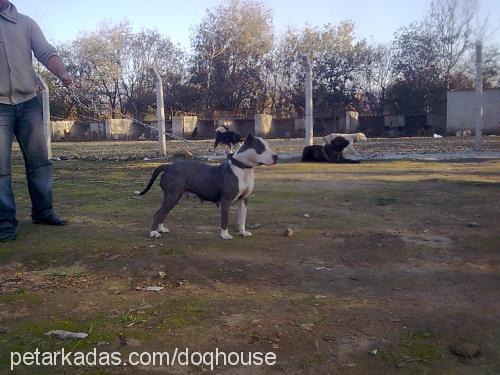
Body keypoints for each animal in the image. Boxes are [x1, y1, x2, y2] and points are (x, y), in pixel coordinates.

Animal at [137, 136, 278, 241]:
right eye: (261, 148)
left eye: (268, 146)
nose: (276, 156)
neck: (242, 168)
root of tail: (169, 166)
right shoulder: (226, 200)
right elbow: (225, 220)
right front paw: (225, 235)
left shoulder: (244, 199)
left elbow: (242, 218)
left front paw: (242, 232)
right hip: (172, 196)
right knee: (158, 213)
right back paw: (153, 233)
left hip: (173, 198)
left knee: (163, 213)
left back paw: (161, 229)